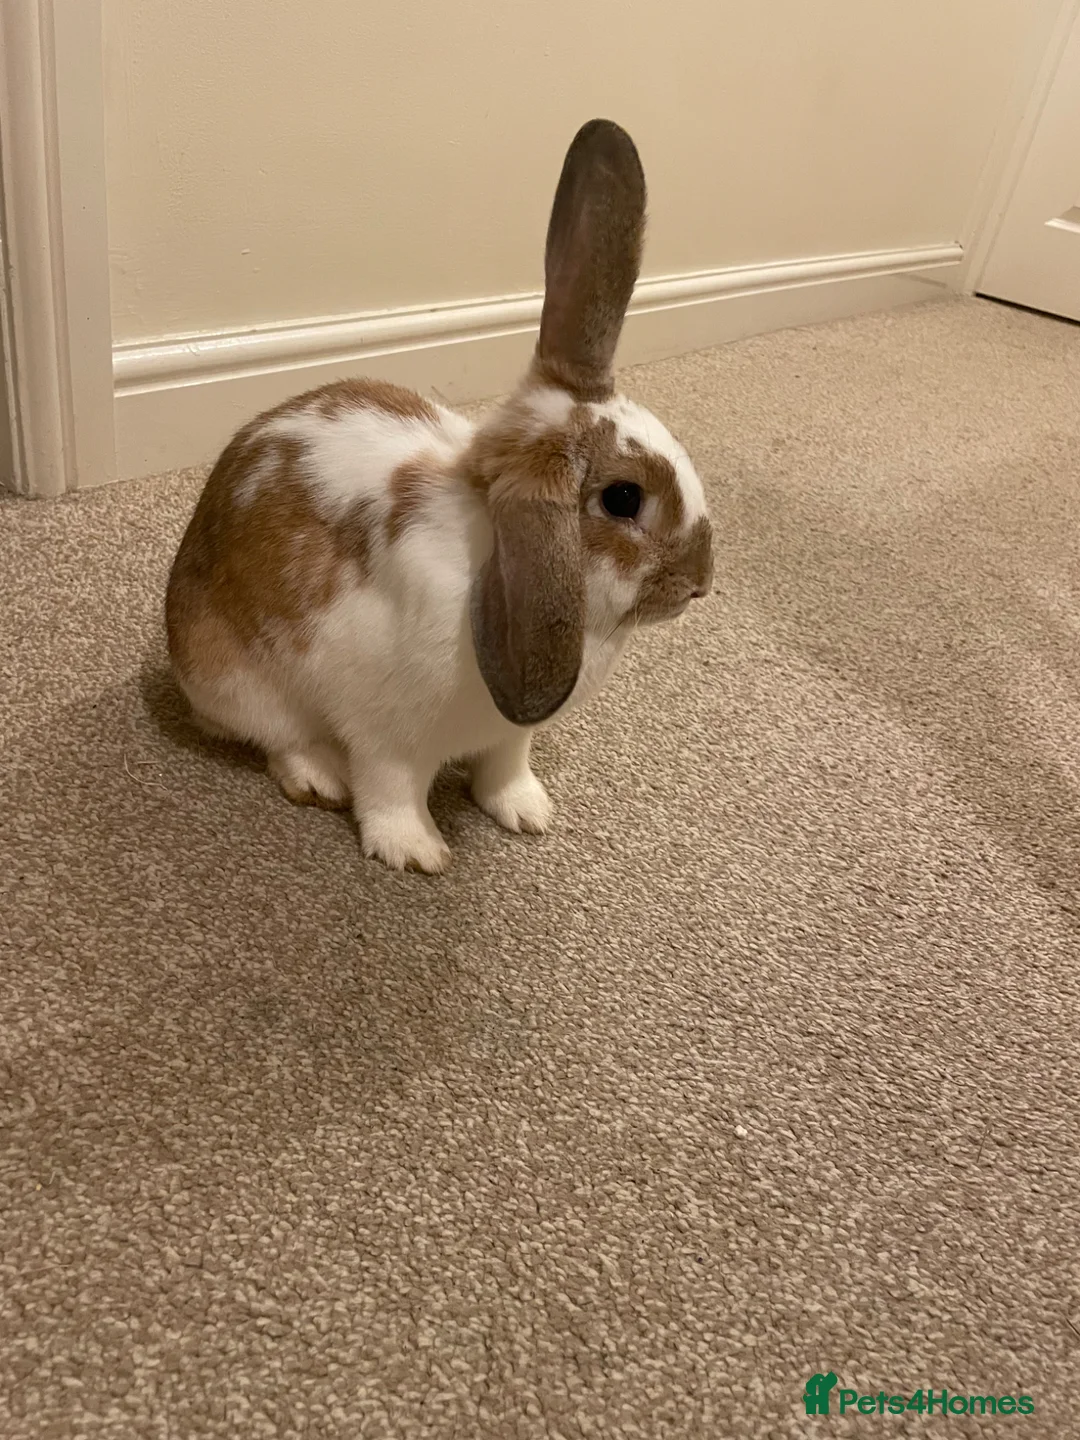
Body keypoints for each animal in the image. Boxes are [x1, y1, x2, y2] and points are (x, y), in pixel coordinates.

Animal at [166, 119, 714, 873]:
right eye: (624, 499)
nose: (701, 582)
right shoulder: (387, 736)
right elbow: (390, 790)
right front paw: (416, 853)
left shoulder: (510, 734)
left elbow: (504, 768)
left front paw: (528, 813)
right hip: (237, 679)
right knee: (278, 738)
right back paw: (318, 776)